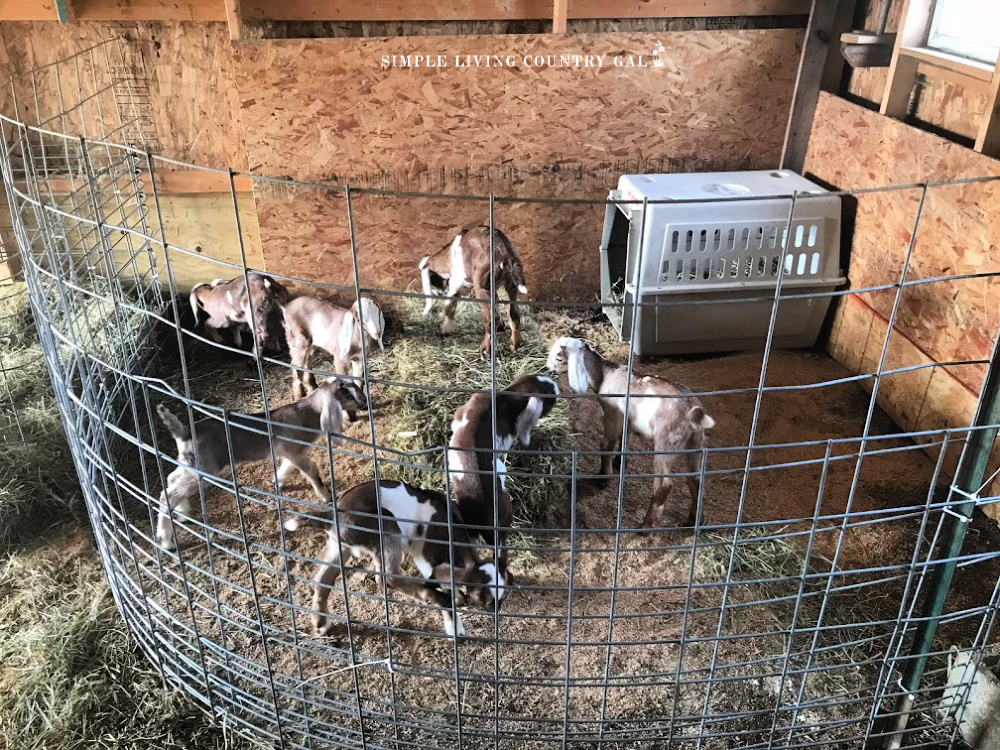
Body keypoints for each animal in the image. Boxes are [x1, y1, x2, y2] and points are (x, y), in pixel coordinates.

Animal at [158, 378, 370, 548]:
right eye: (348, 395)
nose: (365, 405)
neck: (306, 414)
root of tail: (184, 432)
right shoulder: (294, 450)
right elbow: (311, 470)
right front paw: (325, 495)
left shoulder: (290, 452)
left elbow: (286, 467)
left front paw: (277, 482)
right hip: (205, 467)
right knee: (168, 494)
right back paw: (167, 541)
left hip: (191, 461)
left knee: (171, 480)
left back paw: (183, 512)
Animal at [312, 482, 500, 640]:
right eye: (484, 598)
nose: (495, 609)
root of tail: (331, 515)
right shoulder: (426, 558)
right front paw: (455, 629)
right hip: (387, 529)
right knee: (387, 578)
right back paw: (435, 597)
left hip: (339, 547)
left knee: (322, 579)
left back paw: (320, 622)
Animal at [418, 225, 528, 360]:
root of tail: (504, 253)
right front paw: (501, 327)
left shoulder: (456, 283)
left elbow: (450, 306)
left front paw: (445, 330)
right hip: (511, 284)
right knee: (514, 313)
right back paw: (515, 345)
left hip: (481, 286)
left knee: (492, 318)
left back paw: (485, 352)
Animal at [544, 340, 716, 528]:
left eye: (559, 358)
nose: (547, 369)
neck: (605, 373)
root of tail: (693, 410)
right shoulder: (624, 416)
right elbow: (624, 437)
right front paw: (620, 462)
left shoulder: (612, 414)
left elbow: (607, 444)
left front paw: (603, 478)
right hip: (696, 441)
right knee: (696, 477)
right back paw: (693, 519)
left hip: (666, 441)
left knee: (663, 484)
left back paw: (645, 526)